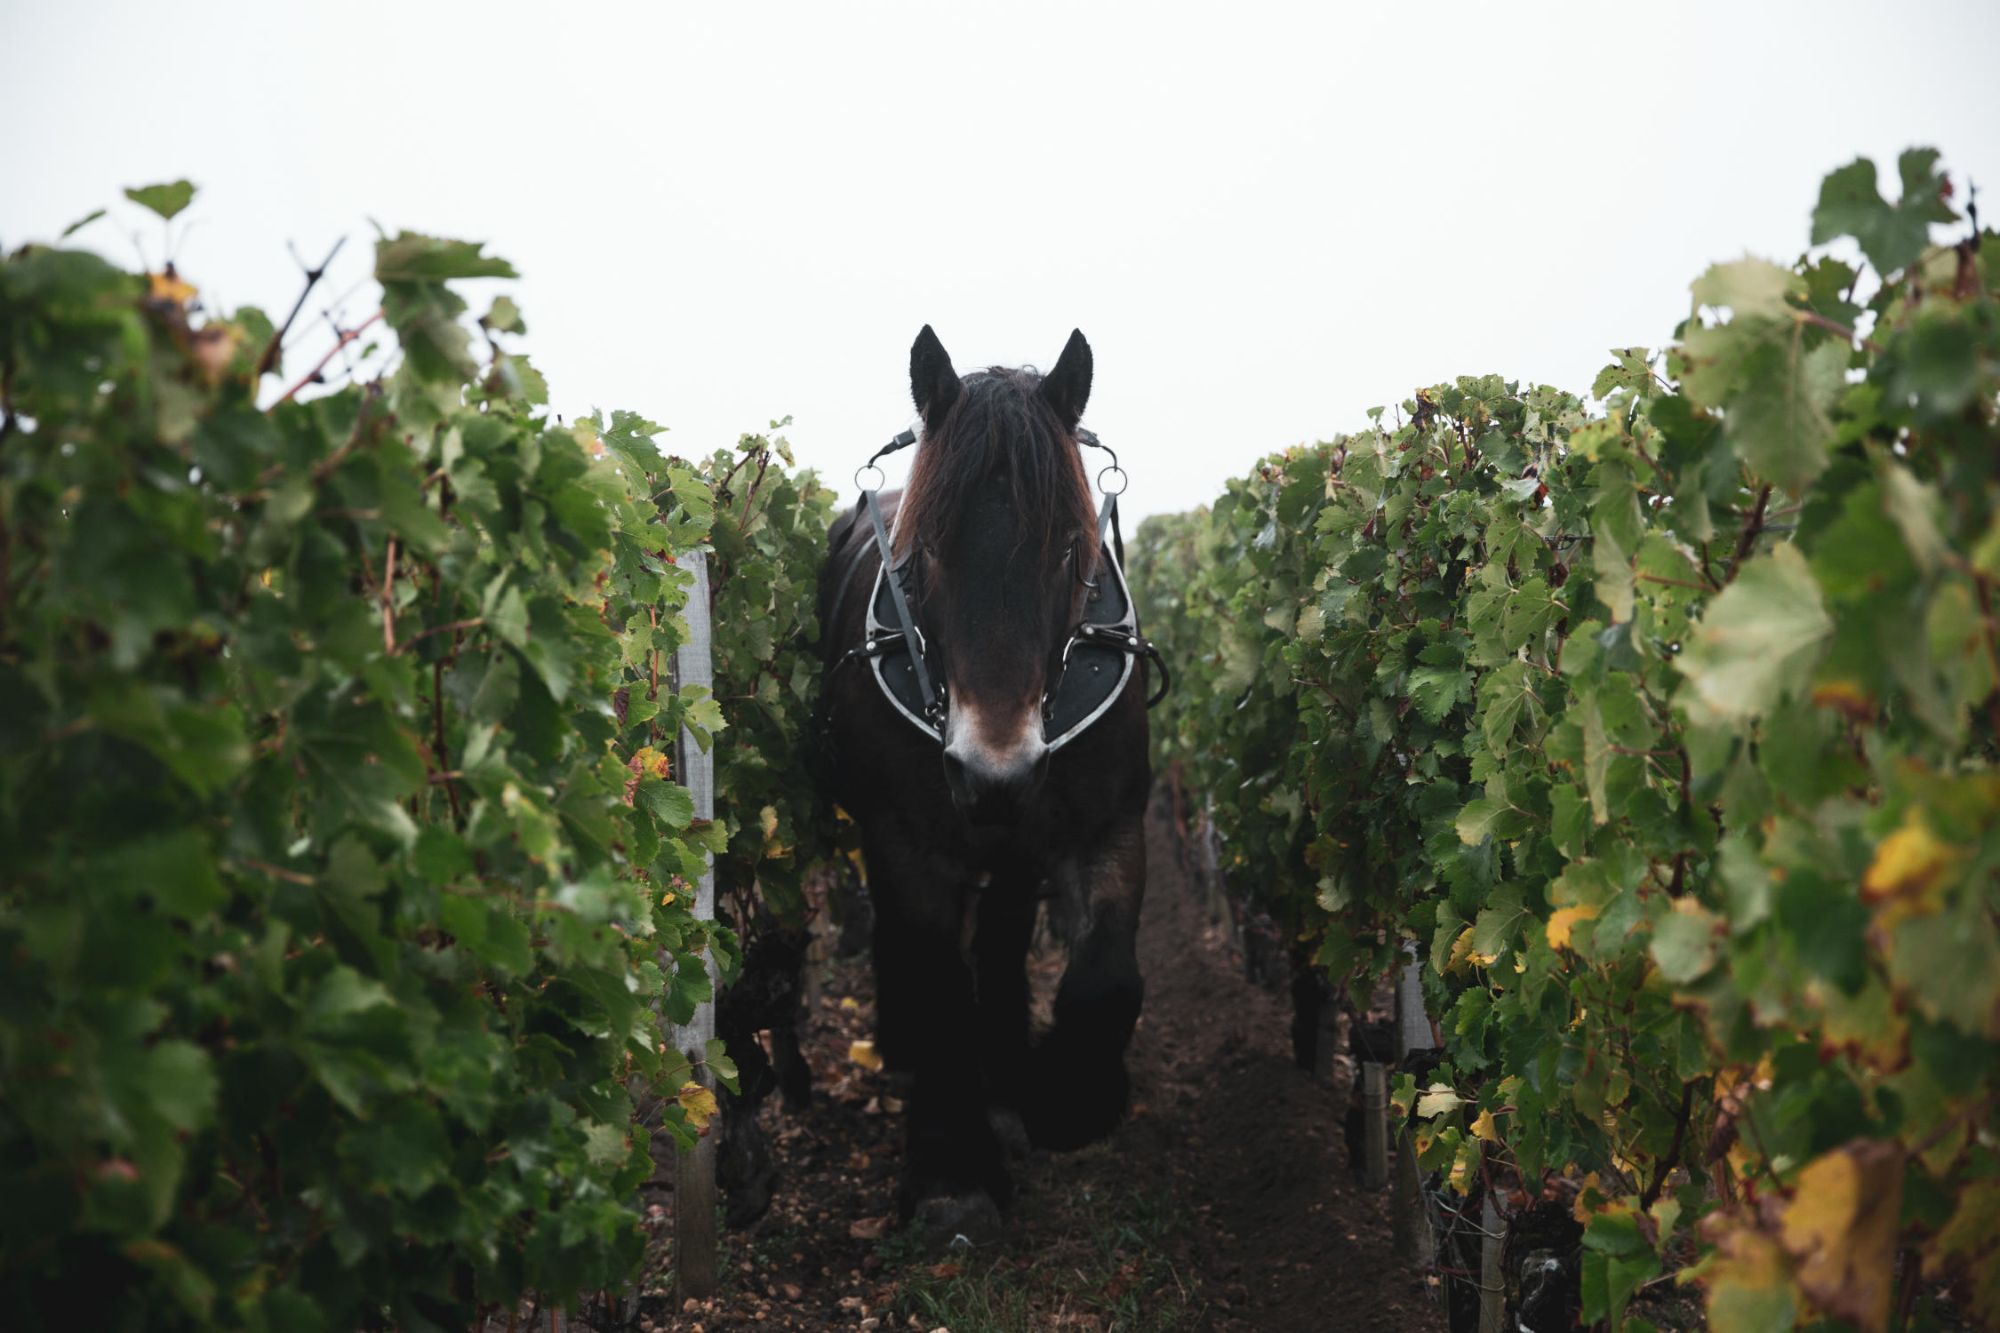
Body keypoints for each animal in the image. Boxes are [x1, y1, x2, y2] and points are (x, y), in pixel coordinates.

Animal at [816, 324, 1160, 1232]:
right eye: (928, 550)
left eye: (1071, 547)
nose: (990, 770)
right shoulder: (905, 836)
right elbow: (938, 977)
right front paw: (950, 1170)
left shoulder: (1109, 814)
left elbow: (1107, 971)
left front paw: (1070, 1096)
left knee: (1004, 931)